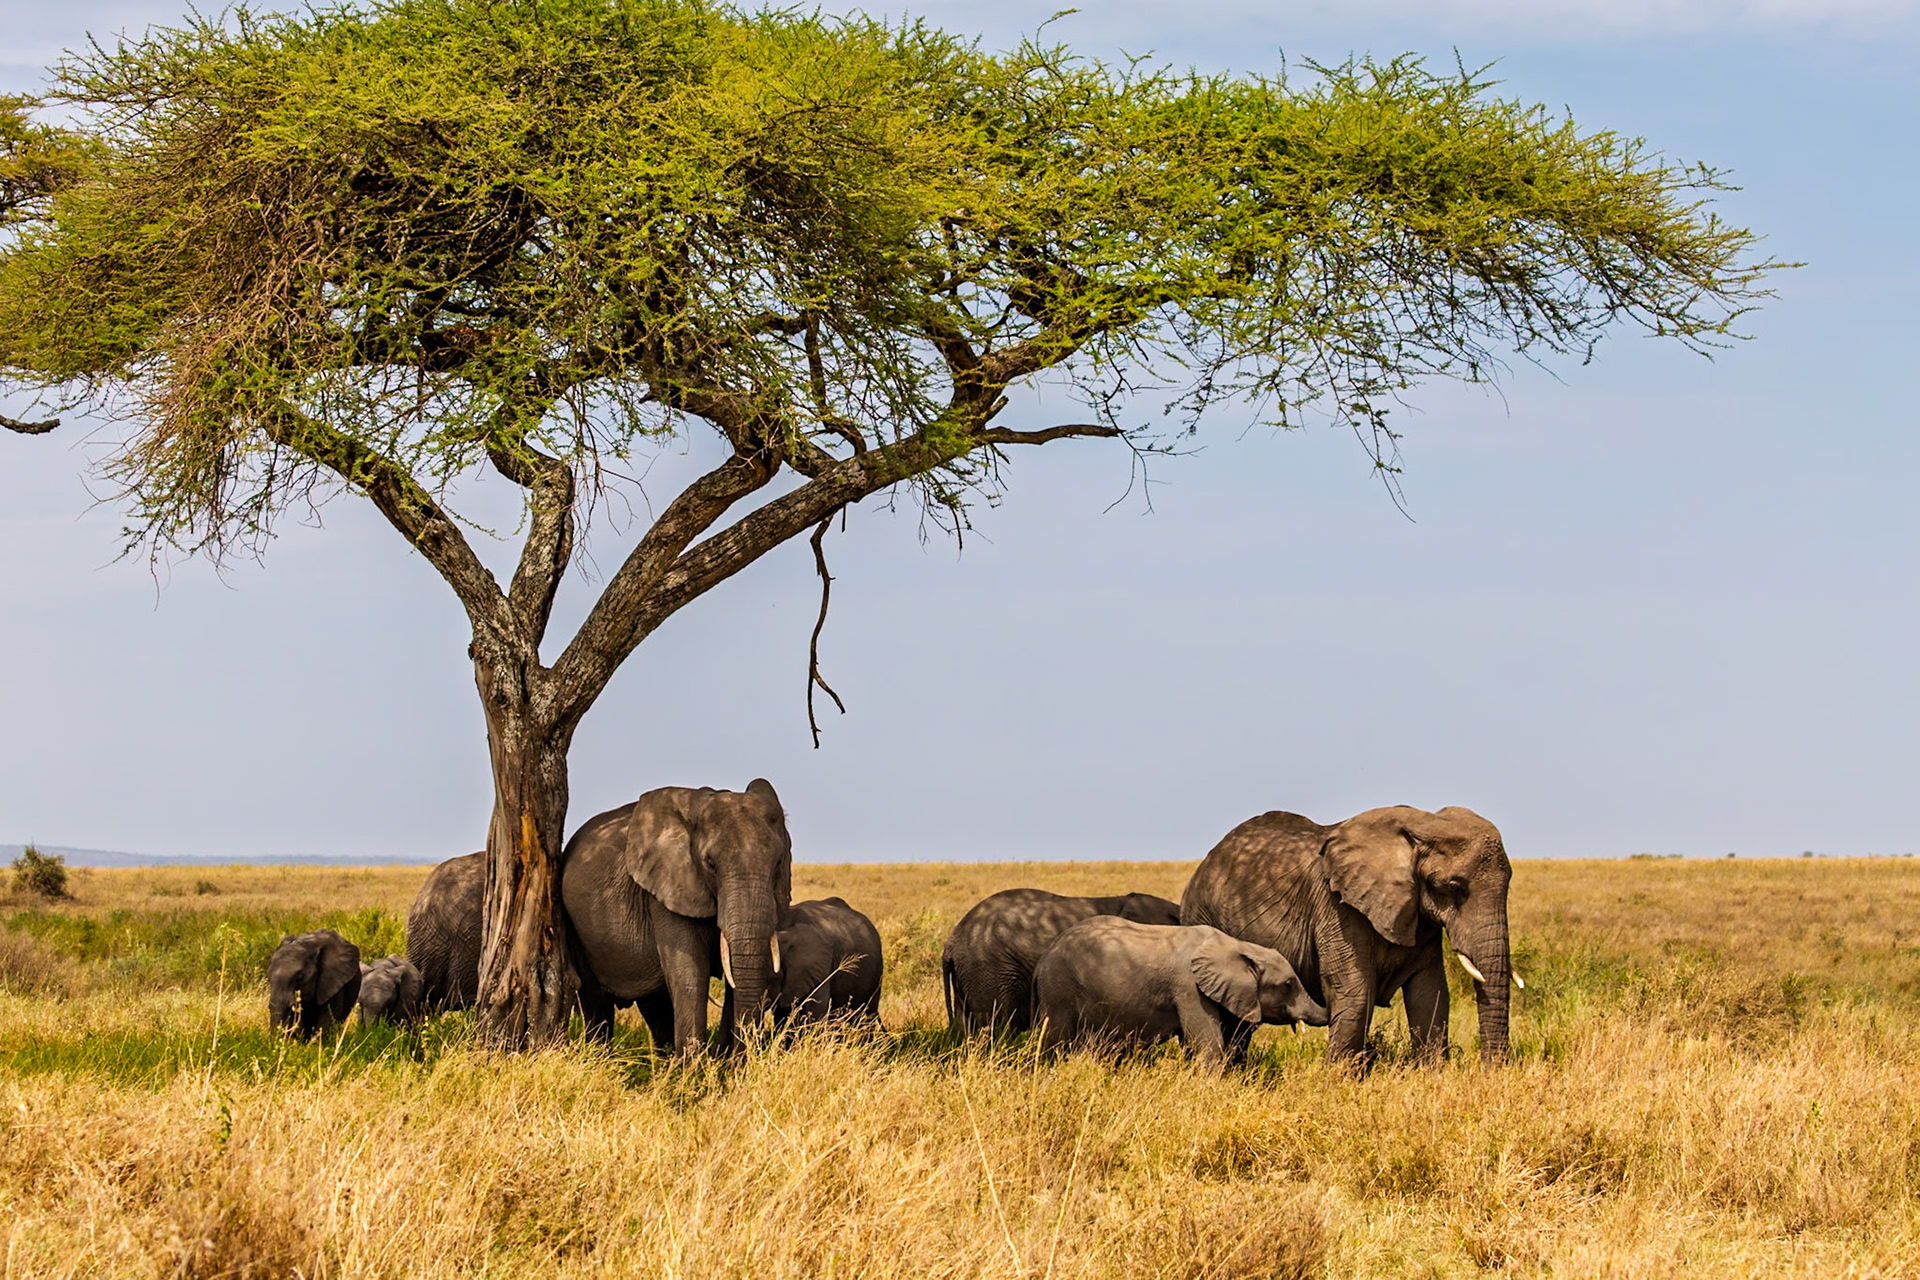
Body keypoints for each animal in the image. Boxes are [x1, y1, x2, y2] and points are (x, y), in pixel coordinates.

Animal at [562, 779, 792, 1058]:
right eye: (710, 864)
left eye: (778, 862)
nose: (741, 1057)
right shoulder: (667, 891)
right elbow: (689, 975)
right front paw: (696, 1068)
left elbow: (734, 978)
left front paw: (721, 1064)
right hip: (576, 929)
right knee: (596, 1004)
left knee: (655, 1006)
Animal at [1033, 918, 1328, 1061]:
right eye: (1288, 985)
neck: (1237, 945)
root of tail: (1043, 957)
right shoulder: (1189, 988)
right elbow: (1207, 1045)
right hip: (1059, 991)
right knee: (1053, 1044)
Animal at [1180, 806, 1516, 1064]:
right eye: (1454, 887)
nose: (1490, 1072)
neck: (1422, 825)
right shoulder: (1337, 909)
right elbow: (1356, 993)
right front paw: (1338, 1082)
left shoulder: (1419, 916)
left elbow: (1429, 994)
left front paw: (1432, 1077)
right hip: (1203, 916)